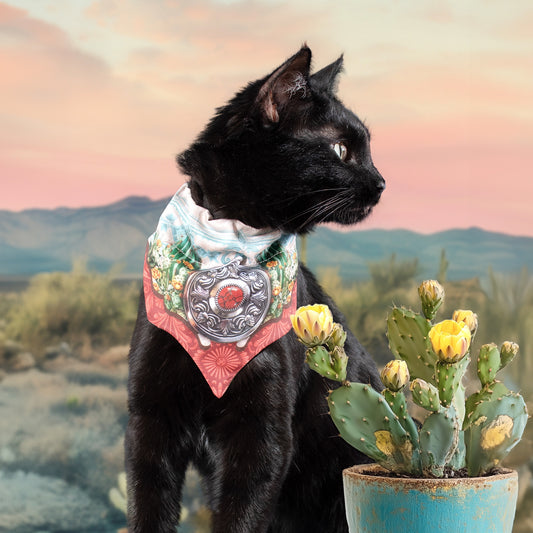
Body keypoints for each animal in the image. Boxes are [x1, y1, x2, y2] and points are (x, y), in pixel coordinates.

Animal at [128, 46, 386, 532]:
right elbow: (148, 507)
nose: (381, 183)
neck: (227, 243)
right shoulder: (150, 416)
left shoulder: (263, 432)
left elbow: (241, 515)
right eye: (341, 149)